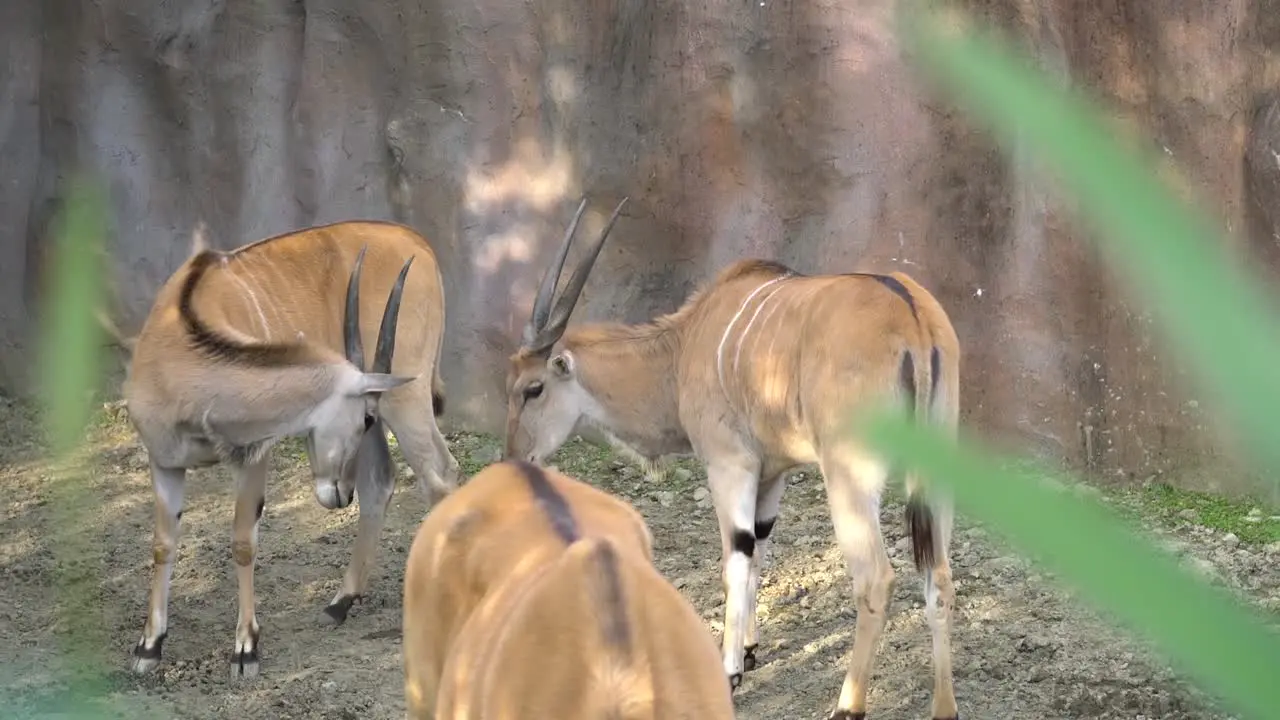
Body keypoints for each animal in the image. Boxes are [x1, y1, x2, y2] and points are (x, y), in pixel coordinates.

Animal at [123, 221, 460, 676]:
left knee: (440, 476)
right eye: (364, 419)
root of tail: (416, 241)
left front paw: (246, 648)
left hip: (404, 398)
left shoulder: (253, 456)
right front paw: (149, 645)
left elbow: (242, 542)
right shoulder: (164, 462)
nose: (340, 493)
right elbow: (162, 544)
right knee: (381, 483)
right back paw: (341, 601)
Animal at [499, 198, 962, 717]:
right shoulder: (771, 474)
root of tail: (911, 317)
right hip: (939, 478)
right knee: (939, 578)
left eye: (532, 389)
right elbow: (757, 548)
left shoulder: (729, 465)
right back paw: (944, 706)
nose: (512, 458)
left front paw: (730, 670)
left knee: (877, 580)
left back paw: (848, 705)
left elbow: (735, 558)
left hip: (849, 480)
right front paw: (751, 649)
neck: (683, 346)